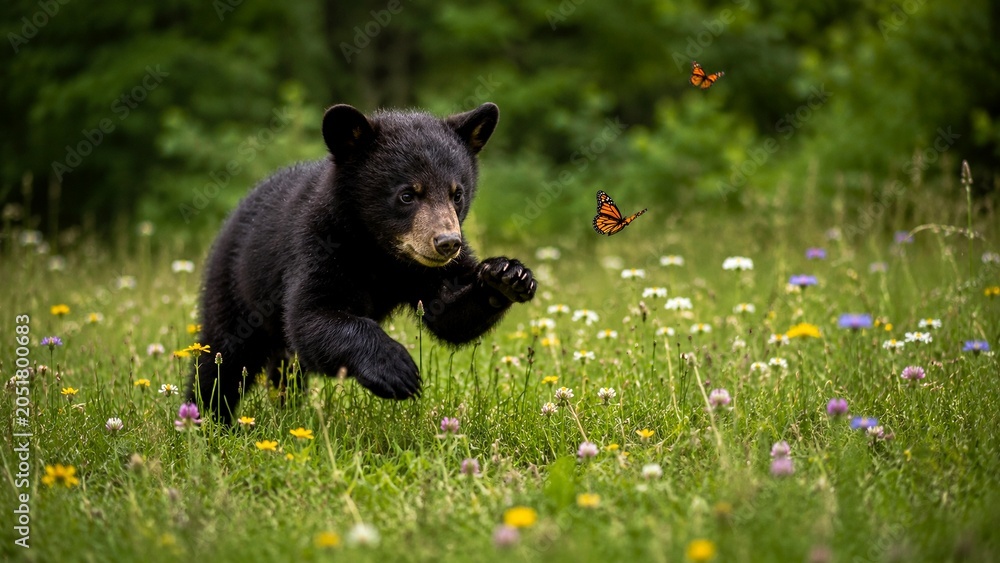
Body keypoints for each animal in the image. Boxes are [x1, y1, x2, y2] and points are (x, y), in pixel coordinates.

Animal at [186, 102, 537, 424]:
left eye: (457, 194)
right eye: (407, 195)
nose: (447, 242)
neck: (381, 253)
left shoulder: (424, 271)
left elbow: (450, 314)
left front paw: (507, 276)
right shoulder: (317, 246)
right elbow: (311, 317)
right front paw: (397, 370)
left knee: (284, 367)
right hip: (236, 286)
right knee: (223, 357)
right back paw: (207, 418)